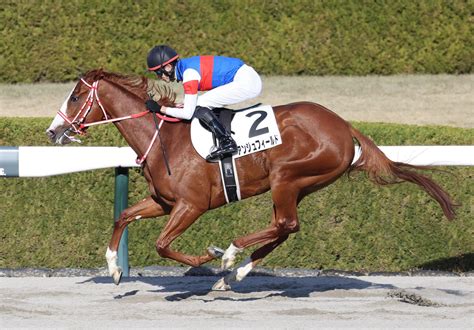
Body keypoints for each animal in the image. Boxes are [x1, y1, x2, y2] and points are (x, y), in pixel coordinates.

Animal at [47, 69, 456, 288]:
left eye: (75, 97)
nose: (53, 132)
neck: (164, 138)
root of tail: (343, 126)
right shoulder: (164, 202)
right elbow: (123, 216)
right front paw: (114, 269)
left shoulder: (191, 204)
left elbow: (163, 245)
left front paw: (208, 256)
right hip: (301, 184)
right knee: (285, 227)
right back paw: (238, 270)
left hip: (287, 175)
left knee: (285, 223)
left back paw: (230, 256)